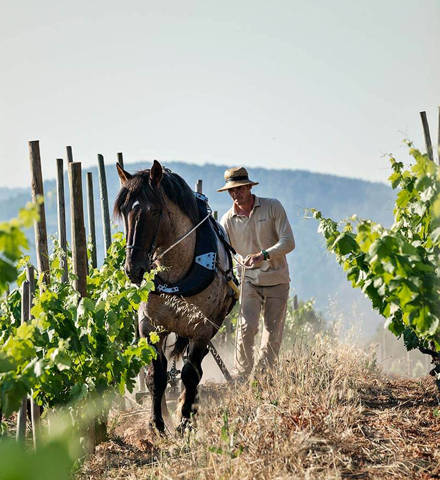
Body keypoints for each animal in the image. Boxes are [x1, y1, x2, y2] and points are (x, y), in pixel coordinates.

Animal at [113, 160, 237, 432]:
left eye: (154, 211)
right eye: (124, 211)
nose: (133, 269)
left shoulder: (201, 329)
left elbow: (190, 374)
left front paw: (184, 420)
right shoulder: (150, 326)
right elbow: (156, 376)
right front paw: (157, 422)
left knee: (194, 369)